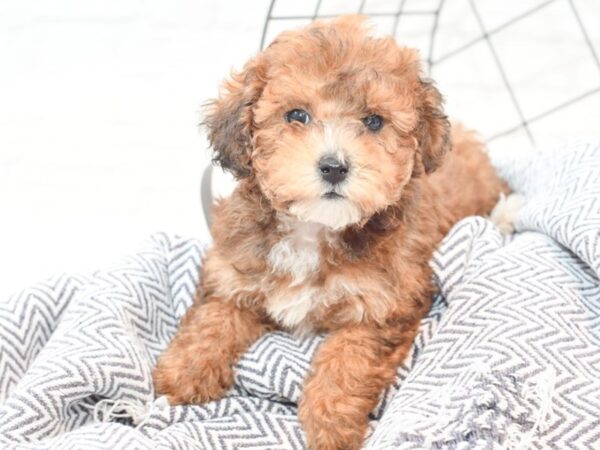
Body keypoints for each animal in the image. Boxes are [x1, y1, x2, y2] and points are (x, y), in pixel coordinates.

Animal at [152, 15, 508, 448]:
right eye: (297, 115)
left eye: (374, 121)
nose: (334, 167)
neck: (314, 227)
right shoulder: (234, 271)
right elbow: (215, 315)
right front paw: (185, 370)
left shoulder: (384, 308)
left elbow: (348, 359)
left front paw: (331, 423)